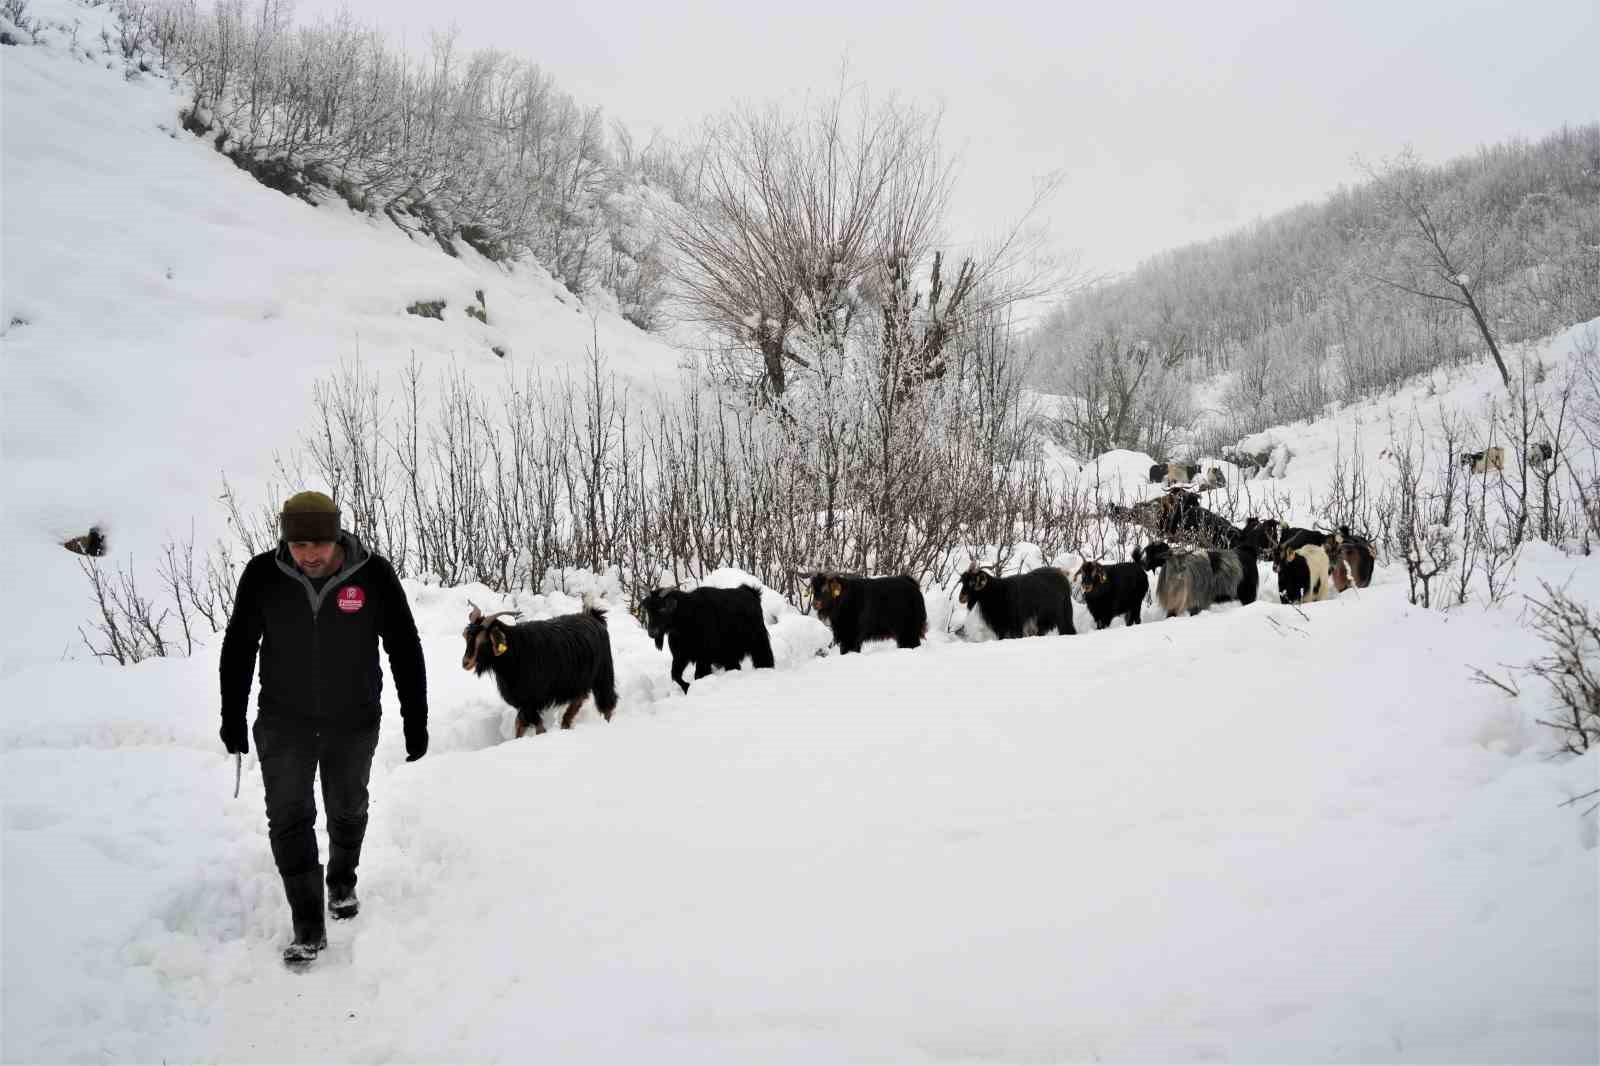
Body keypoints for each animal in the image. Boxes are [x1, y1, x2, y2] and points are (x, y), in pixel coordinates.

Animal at [464, 601, 617, 736]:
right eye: (466, 636)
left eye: (484, 640)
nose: (465, 662)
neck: (515, 652)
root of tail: (595, 617)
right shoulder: (525, 704)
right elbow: (520, 725)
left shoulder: (531, 702)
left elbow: (538, 727)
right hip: (578, 681)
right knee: (579, 699)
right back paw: (565, 724)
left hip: (603, 674)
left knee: (607, 703)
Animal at [636, 585, 774, 694]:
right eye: (648, 609)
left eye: (662, 608)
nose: (652, 632)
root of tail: (752, 592)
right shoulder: (681, 656)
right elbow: (675, 675)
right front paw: (687, 687)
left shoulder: (704, 656)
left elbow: (698, 674)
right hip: (729, 653)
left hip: (758, 640)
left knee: (763, 655)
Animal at [806, 569, 934, 653]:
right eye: (813, 589)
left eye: (825, 589)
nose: (814, 603)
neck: (843, 600)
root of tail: (911, 583)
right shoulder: (844, 635)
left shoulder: (851, 636)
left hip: (909, 629)